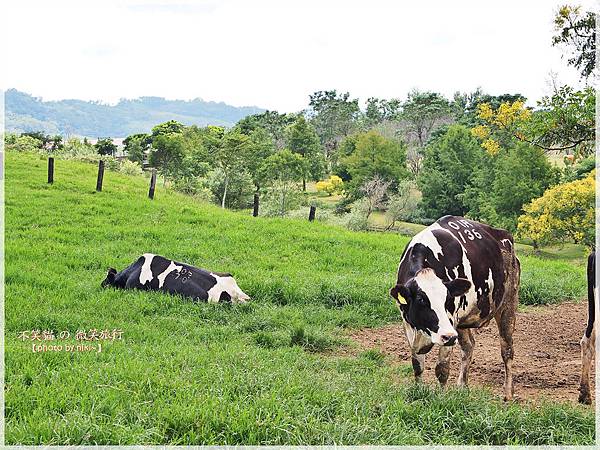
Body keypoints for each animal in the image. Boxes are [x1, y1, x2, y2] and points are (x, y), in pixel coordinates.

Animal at [392, 215, 516, 400]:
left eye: (448, 298)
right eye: (421, 299)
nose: (449, 336)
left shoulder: (450, 324)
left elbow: (442, 369)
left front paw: (441, 398)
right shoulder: (409, 325)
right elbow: (417, 365)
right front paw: (418, 391)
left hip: (507, 305)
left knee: (507, 350)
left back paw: (508, 393)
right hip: (462, 323)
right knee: (469, 345)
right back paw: (462, 386)